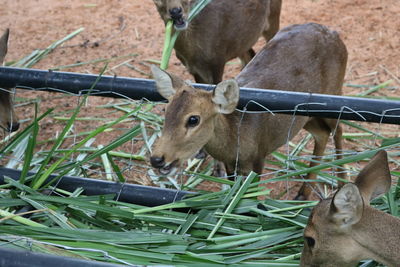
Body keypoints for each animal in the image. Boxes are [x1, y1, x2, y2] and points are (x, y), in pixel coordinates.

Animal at [149, 23, 346, 200]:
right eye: (165, 111)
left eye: (193, 119)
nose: (157, 159)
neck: (237, 136)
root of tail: (335, 35)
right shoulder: (231, 165)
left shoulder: (259, 157)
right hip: (304, 117)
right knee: (322, 133)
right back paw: (302, 194)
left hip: (333, 95)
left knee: (338, 130)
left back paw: (342, 184)